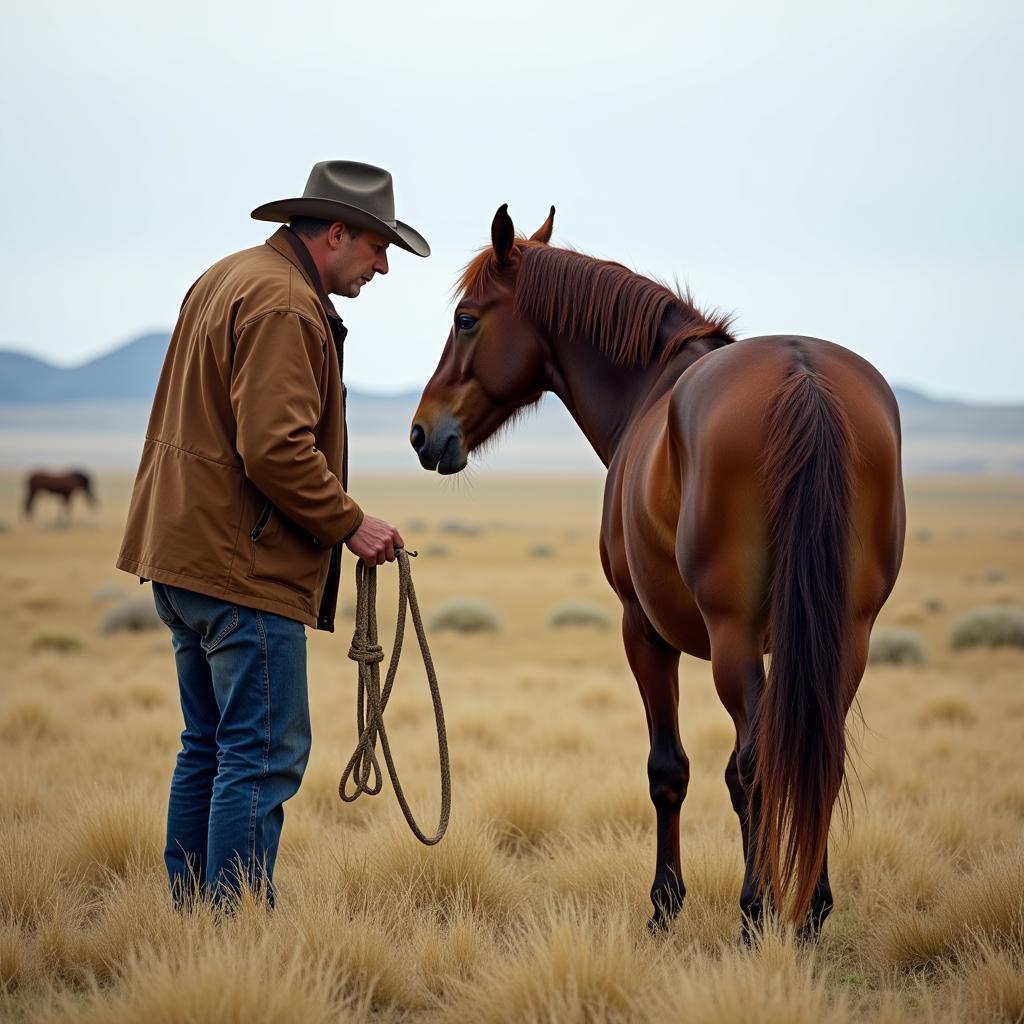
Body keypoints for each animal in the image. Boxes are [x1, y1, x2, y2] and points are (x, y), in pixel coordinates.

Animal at [409, 205, 905, 937]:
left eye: (466, 319)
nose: (422, 433)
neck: (651, 389)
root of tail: (803, 375)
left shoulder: (642, 629)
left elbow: (668, 769)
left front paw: (665, 902)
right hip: (848, 633)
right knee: (819, 754)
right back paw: (811, 910)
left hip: (732, 637)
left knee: (755, 764)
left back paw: (755, 911)